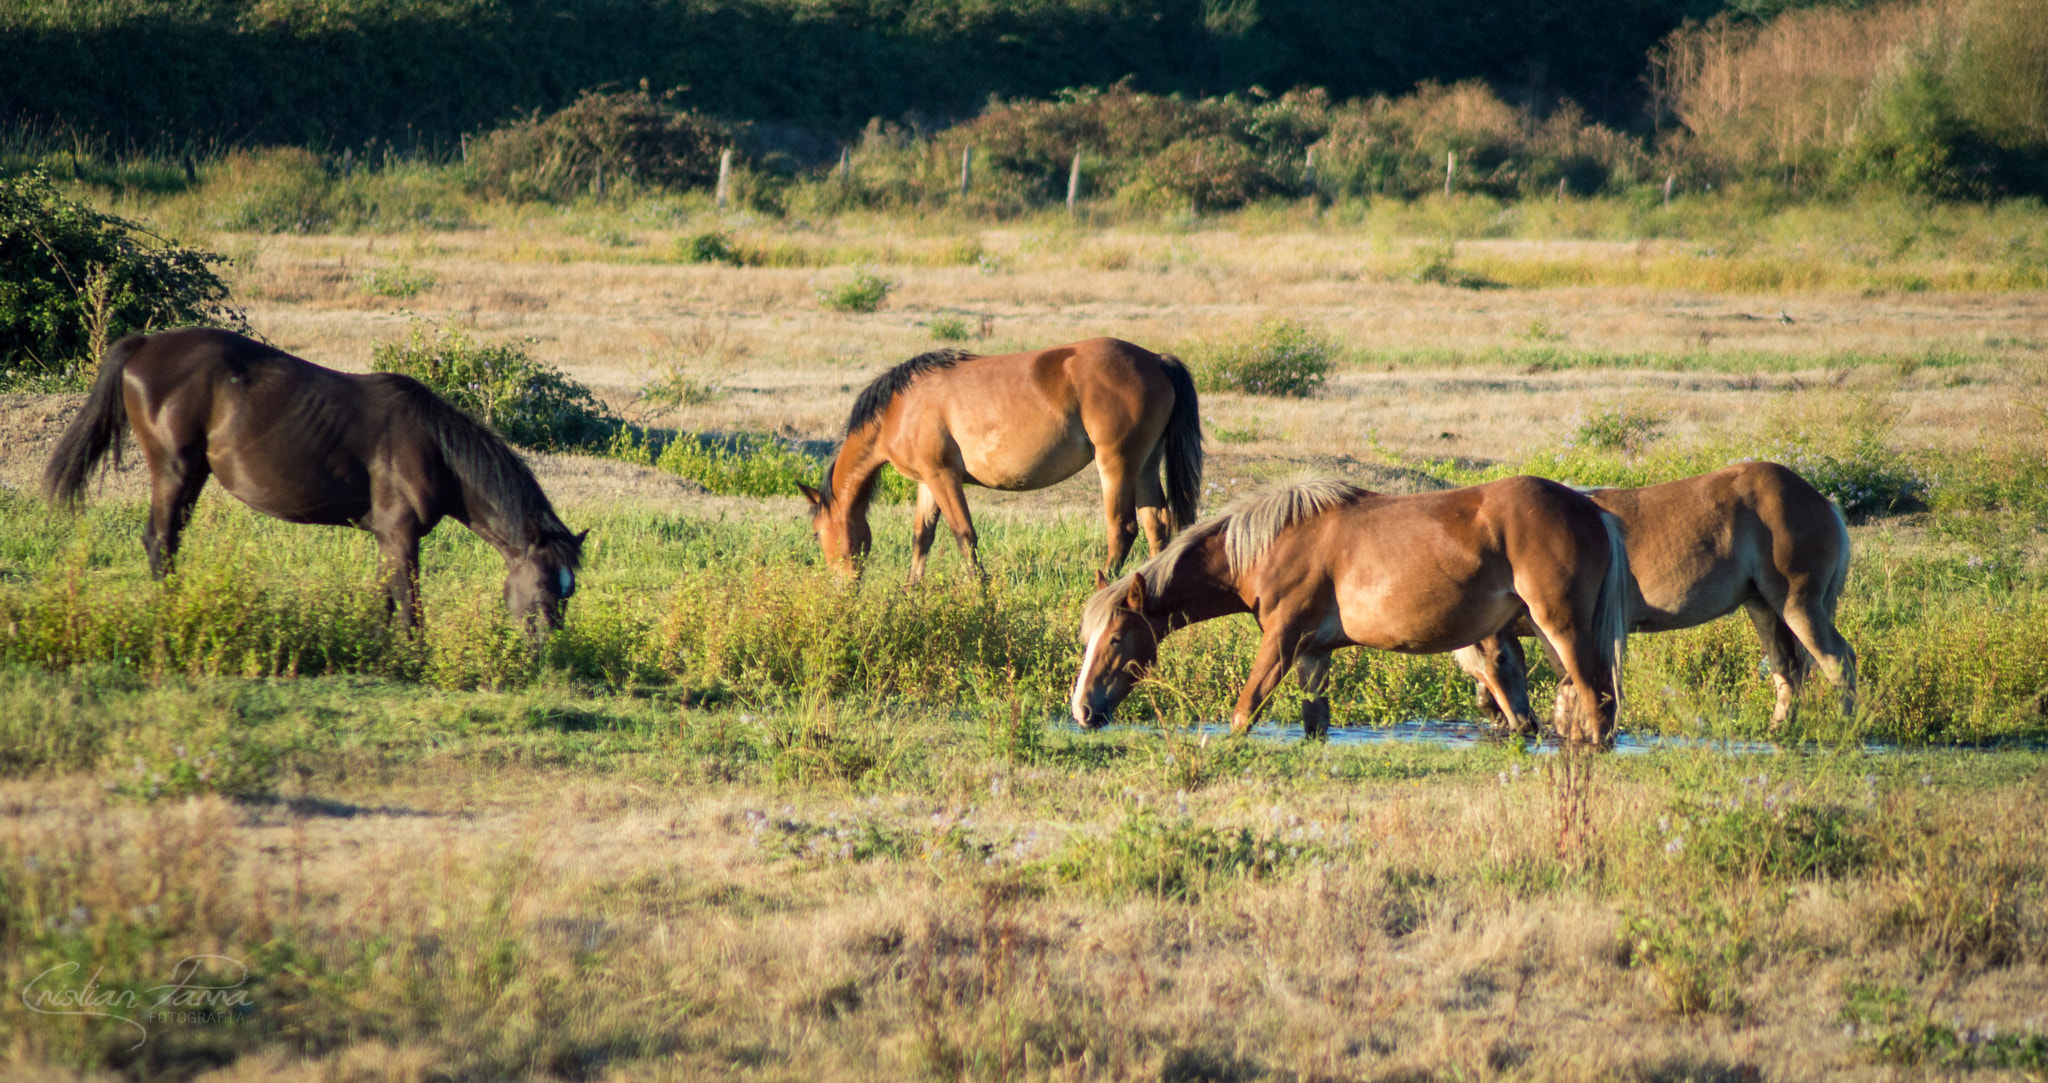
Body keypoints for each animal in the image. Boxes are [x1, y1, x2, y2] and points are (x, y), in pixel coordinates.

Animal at [42, 328, 586, 633]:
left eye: (568, 592)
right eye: (542, 586)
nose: (544, 651)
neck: (434, 449)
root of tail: (145, 344)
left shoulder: (387, 539)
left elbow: (385, 599)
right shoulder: (401, 536)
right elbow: (410, 606)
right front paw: (415, 660)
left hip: (193, 474)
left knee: (168, 540)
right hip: (174, 470)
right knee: (160, 541)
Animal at [797, 338, 1202, 580]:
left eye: (817, 533)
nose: (842, 588)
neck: (900, 406)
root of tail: (1155, 360)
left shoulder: (944, 478)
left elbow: (964, 536)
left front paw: (981, 597)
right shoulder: (928, 481)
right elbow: (921, 538)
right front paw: (910, 594)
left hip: (1116, 466)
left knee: (1123, 529)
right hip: (1145, 467)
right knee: (1156, 526)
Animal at [1071, 475, 1632, 745]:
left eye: (1116, 639)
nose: (1081, 710)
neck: (1271, 545)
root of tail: (1590, 509)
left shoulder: (1281, 639)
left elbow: (1243, 713)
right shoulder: (1312, 653)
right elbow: (1313, 721)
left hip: (1563, 628)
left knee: (1598, 702)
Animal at [1460, 461, 1855, 733]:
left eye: (1501, 660)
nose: (1523, 725)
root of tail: (1822, 501)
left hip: (1798, 604)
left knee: (1837, 659)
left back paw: (1845, 726)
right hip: (1764, 608)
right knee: (1787, 669)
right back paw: (1778, 729)